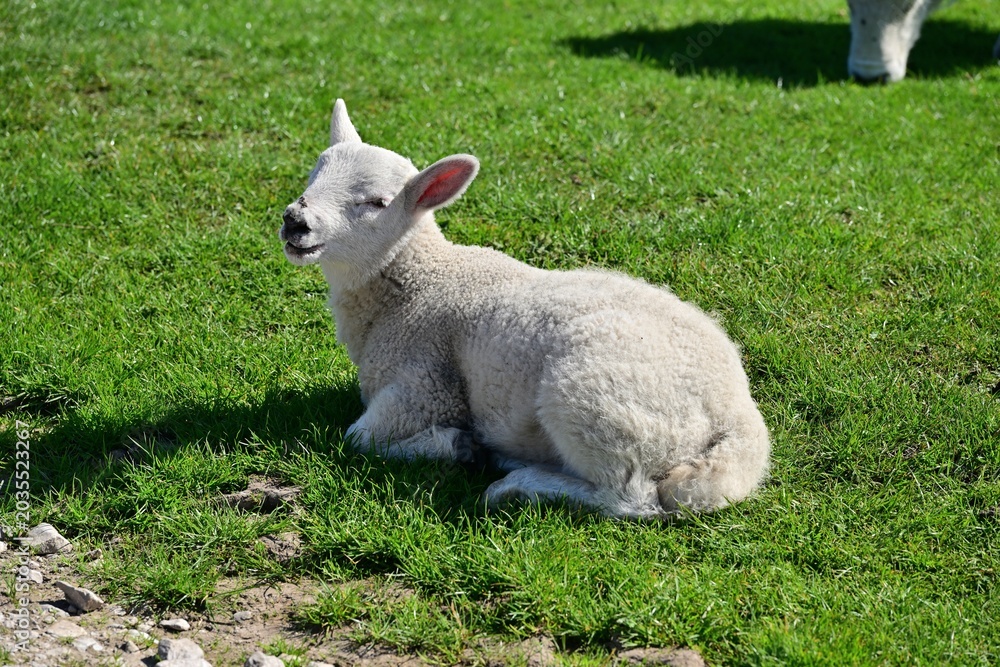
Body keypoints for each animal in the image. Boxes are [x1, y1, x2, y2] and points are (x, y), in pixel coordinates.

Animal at [279, 99, 771, 519]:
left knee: (631, 498)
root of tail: (737, 420)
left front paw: (455, 446)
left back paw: (516, 484)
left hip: (593, 398)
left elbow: (357, 438)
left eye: (377, 203)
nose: (295, 221)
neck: (419, 283)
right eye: (312, 176)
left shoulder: (425, 385)